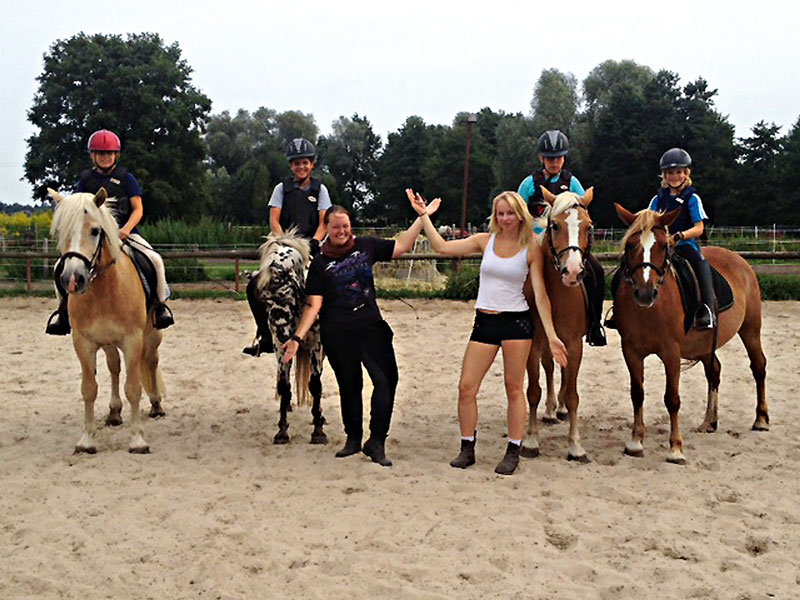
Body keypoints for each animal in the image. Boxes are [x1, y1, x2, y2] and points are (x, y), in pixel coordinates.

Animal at [47, 189, 166, 454]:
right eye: (61, 231)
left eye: (95, 231)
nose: (73, 279)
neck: (103, 290)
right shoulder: (83, 342)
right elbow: (89, 389)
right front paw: (86, 440)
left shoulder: (133, 340)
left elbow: (133, 388)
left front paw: (137, 440)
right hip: (109, 342)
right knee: (114, 367)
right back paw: (114, 412)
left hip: (152, 335)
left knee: (151, 361)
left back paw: (156, 405)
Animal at [260, 230, 328, 446]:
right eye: (263, 300)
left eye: (284, 290)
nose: (282, 333)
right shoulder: (281, 349)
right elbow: (284, 386)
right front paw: (282, 431)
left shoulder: (316, 346)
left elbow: (315, 385)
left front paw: (318, 430)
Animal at [612, 203, 768, 464]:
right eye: (631, 245)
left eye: (662, 246)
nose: (645, 293)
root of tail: (738, 259)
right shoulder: (631, 350)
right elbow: (637, 393)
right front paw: (635, 442)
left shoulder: (671, 353)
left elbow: (672, 399)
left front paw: (675, 448)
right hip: (705, 344)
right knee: (714, 371)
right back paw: (709, 422)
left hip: (750, 329)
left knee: (758, 366)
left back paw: (761, 419)